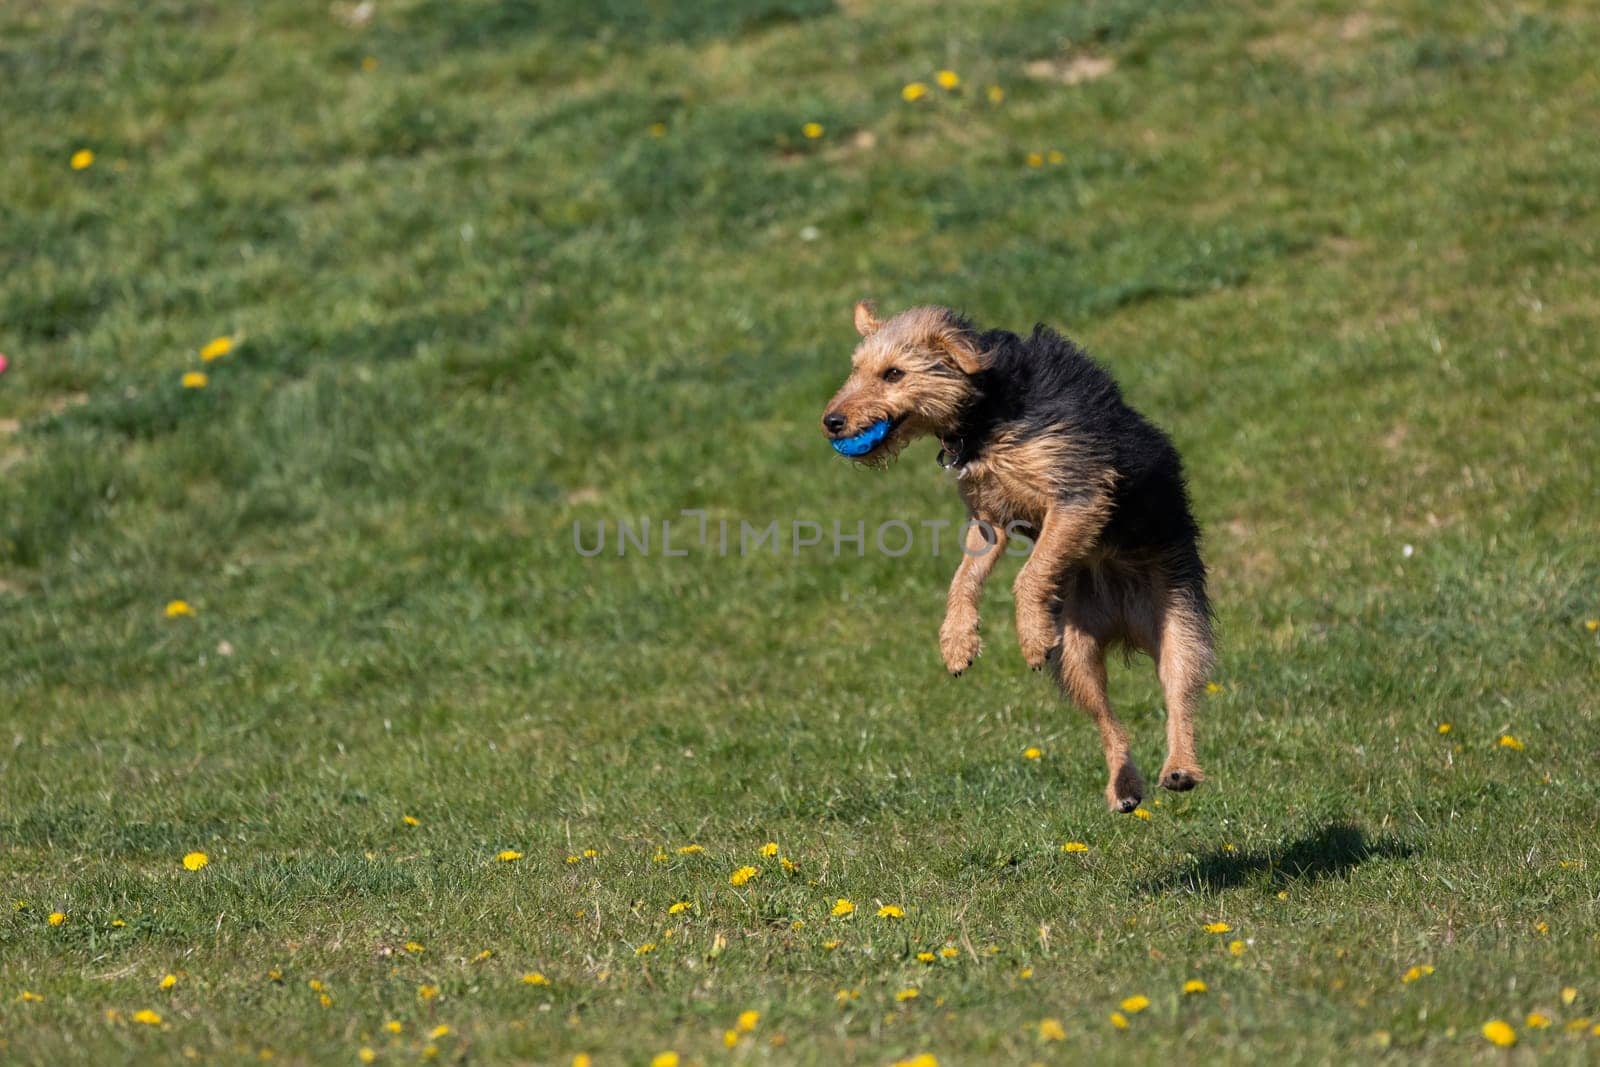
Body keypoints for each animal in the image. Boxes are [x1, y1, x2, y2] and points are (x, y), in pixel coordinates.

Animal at [825, 303, 1209, 812]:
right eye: (856, 369)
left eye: (893, 373)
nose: (831, 421)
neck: (987, 413)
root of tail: (1126, 624)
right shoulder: (988, 521)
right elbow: (963, 578)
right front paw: (957, 641)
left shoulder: (1077, 497)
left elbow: (1031, 571)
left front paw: (1029, 634)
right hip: (1076, 656)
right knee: (1108, 720)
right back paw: (1123, 787)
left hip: (1178, 624)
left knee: (1178, 695)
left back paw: (1180, 768)